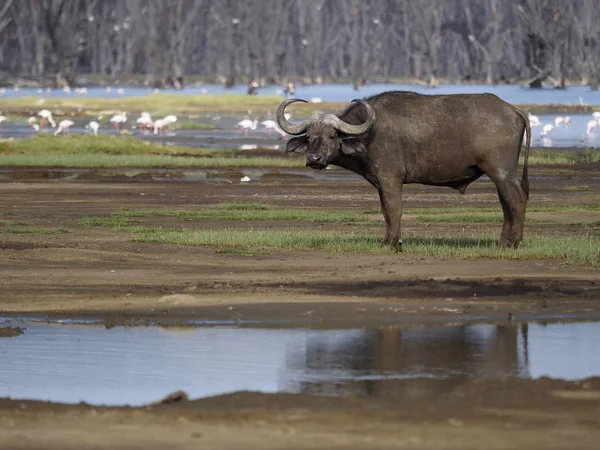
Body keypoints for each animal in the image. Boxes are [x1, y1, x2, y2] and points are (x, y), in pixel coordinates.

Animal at [276, 92, 528, 250]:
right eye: (309, 136)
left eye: (331, 135)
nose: (314, 159)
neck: (370, 133)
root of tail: (512, 109)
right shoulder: (380, 183)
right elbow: (385, 212)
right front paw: (389, 240)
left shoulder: (390, 180)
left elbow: (393, 209)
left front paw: (392, 243)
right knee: (507, 202)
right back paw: (504, 241)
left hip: (501, 172)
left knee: (516, 199)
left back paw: (513, 243)